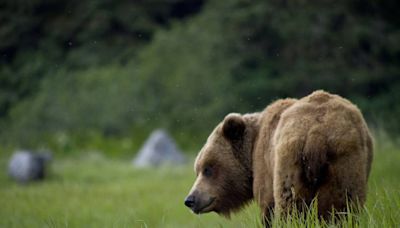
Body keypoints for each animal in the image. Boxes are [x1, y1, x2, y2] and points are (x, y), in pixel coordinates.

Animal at [186, 90, 374, 223]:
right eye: (198, 169)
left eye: (208, 168)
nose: (190, 199)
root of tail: (316, 134)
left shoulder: (265, 167)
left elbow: (268, 206)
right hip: (345, 160)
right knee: (343, 206)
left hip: (290, 161)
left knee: (290, 206)